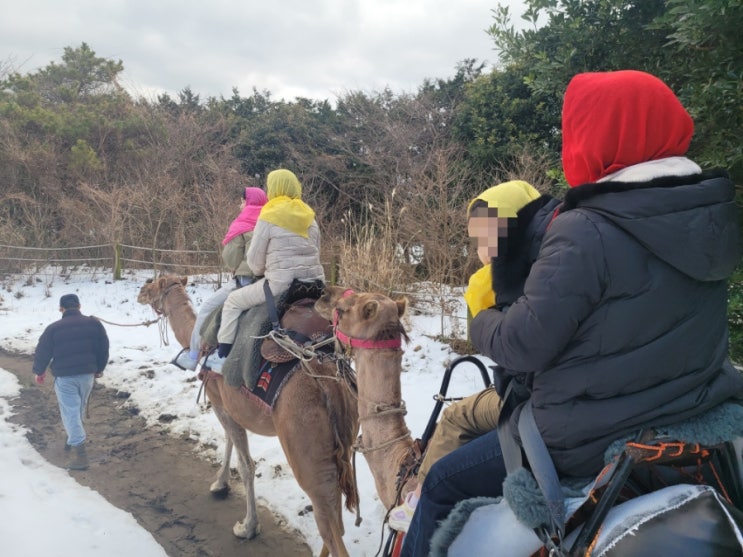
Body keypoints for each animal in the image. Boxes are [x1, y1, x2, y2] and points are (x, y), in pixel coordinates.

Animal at [140, 274, 364, 556]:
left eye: (154, 283)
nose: (140, 292)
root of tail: (329, 384)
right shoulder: (230, 407)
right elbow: (229, 441)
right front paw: (220, 484)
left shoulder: (219, 401)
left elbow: (246, 465)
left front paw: (247, 527)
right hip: (344, 438)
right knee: (336, 517)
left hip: (306, 451)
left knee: (330, 525)